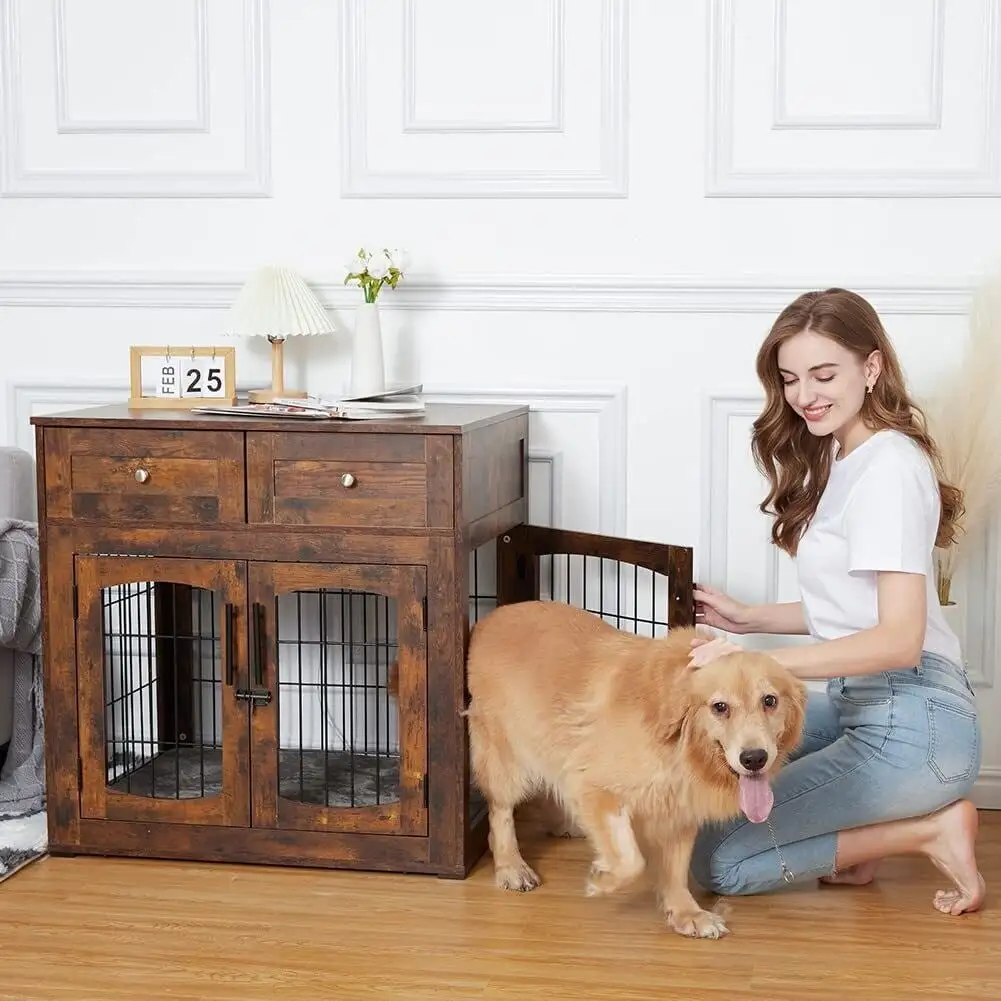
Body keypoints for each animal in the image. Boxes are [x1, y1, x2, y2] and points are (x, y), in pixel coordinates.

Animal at [464, 600, 808, 936]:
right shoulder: (595, 786)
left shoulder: (680, 809)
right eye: (719, 707)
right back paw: (511, 866)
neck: (678, 747)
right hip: (506, 758)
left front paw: (687, 913)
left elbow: (675, 868)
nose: (754, 758)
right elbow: (631, 860)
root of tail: (491, 617)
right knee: (500, 812)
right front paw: (601, 879)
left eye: (769, 700)